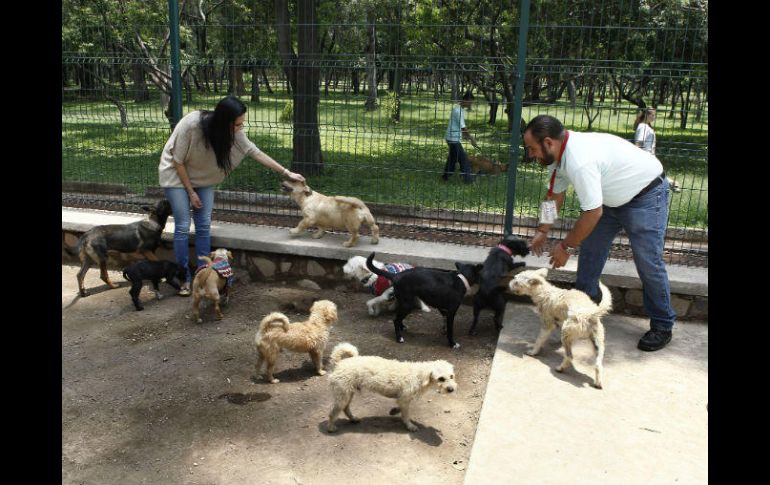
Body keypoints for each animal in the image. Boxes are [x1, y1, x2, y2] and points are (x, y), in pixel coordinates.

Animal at [326, 340, 456, 432]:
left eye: (451, 376)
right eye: (441, 378)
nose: (451, 389)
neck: (419, 376)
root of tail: (339, 363)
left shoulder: (404, 399)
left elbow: (400, 408)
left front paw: (394, 411)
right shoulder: (405, 398)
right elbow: (406, 415)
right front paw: (409, 426)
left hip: (348, 394)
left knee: (346, 408)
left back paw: (353, 419)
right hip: (342, 396)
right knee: (333, 413)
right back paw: (331, 427)